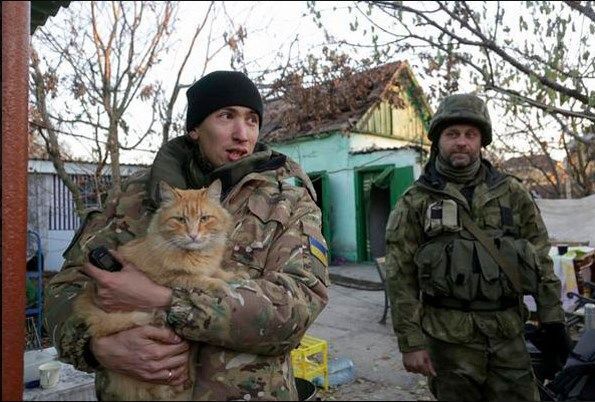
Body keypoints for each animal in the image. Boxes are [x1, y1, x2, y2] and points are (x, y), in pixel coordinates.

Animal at [75, 181, 239, 400]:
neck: (194, 255)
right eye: (180, 220)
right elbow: (196, 279)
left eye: (204, 218)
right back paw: (159, 320)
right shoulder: (167, 278)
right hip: (116, 322)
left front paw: (236, 276)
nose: (193, 235)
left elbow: (218, 272)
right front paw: (220, 285)